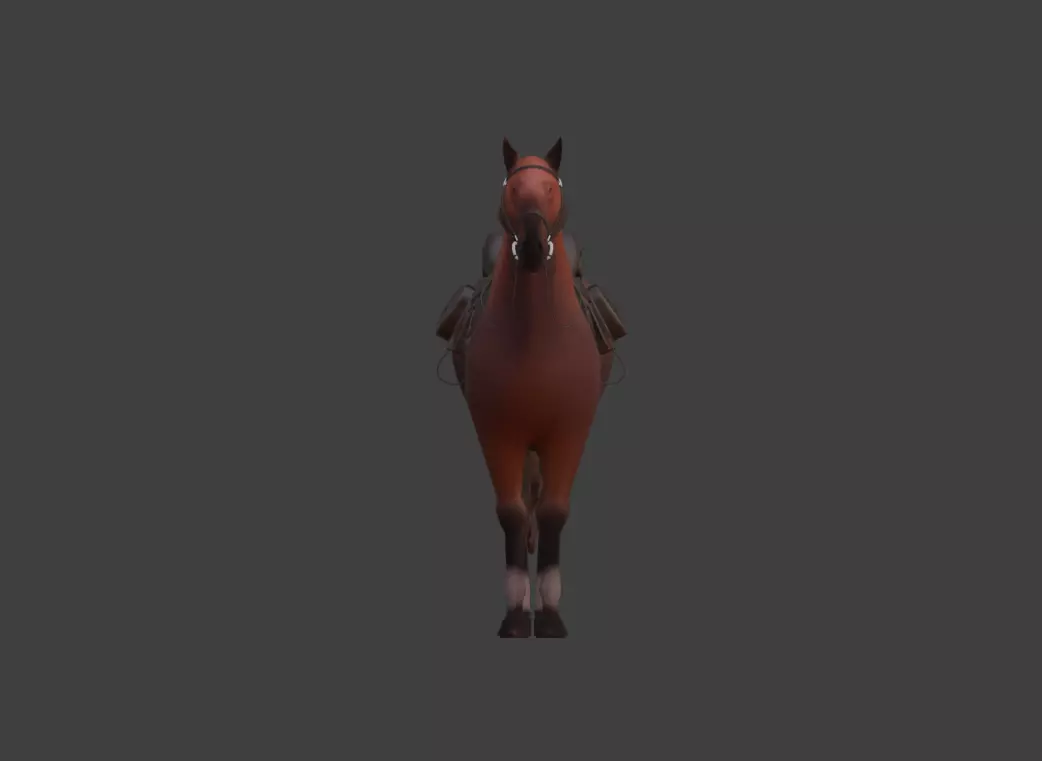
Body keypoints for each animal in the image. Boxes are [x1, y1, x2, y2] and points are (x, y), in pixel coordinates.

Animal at [462, 138, 609, 638]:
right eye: (511, 187)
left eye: (551, 187)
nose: (528, 246)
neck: (536, 339)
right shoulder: (498, 433)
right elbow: (512, 512)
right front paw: (514, 615)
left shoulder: (569, 433)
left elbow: (552, 512)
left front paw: (548, 615)